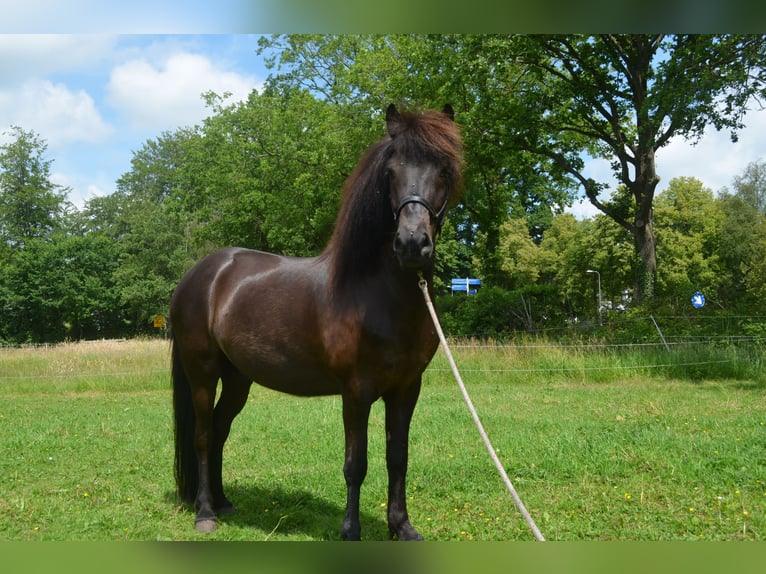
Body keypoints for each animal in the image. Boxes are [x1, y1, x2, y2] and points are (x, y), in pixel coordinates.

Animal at [170, 103, 463, 540]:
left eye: (443, 170)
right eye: (391, 172)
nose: (412, 245)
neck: (381, 294)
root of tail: (199, 274)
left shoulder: (407, 388)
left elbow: (398, 457)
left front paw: (402, 527)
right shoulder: (356, 391)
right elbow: (355, 464)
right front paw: (351, 531)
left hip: (238, 377)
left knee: (220, 429)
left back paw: (223, 502)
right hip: (202, 372)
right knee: (204, 435)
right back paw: (205, 512)